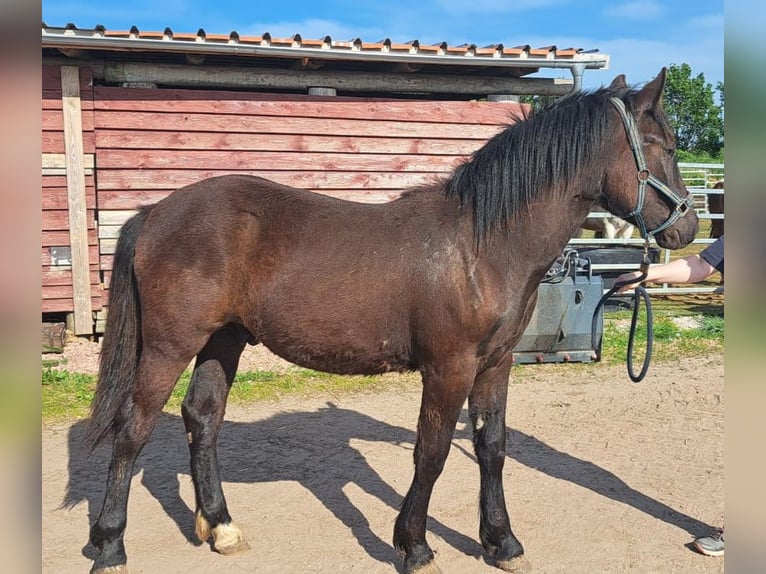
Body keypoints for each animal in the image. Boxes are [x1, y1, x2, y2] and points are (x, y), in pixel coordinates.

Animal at [85, 70, 704, 572]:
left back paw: (221, 528)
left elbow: (492, 447)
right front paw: (414, 546)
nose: (687, 228)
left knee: (202, 418)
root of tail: (156, 212)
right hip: (169, 346)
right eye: (663, 145)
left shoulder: (496, 365)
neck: (481, 245)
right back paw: (110, 545)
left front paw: (501, 542)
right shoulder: (449, 368)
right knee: (134, 428)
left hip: (224, 340)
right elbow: (431, 452)